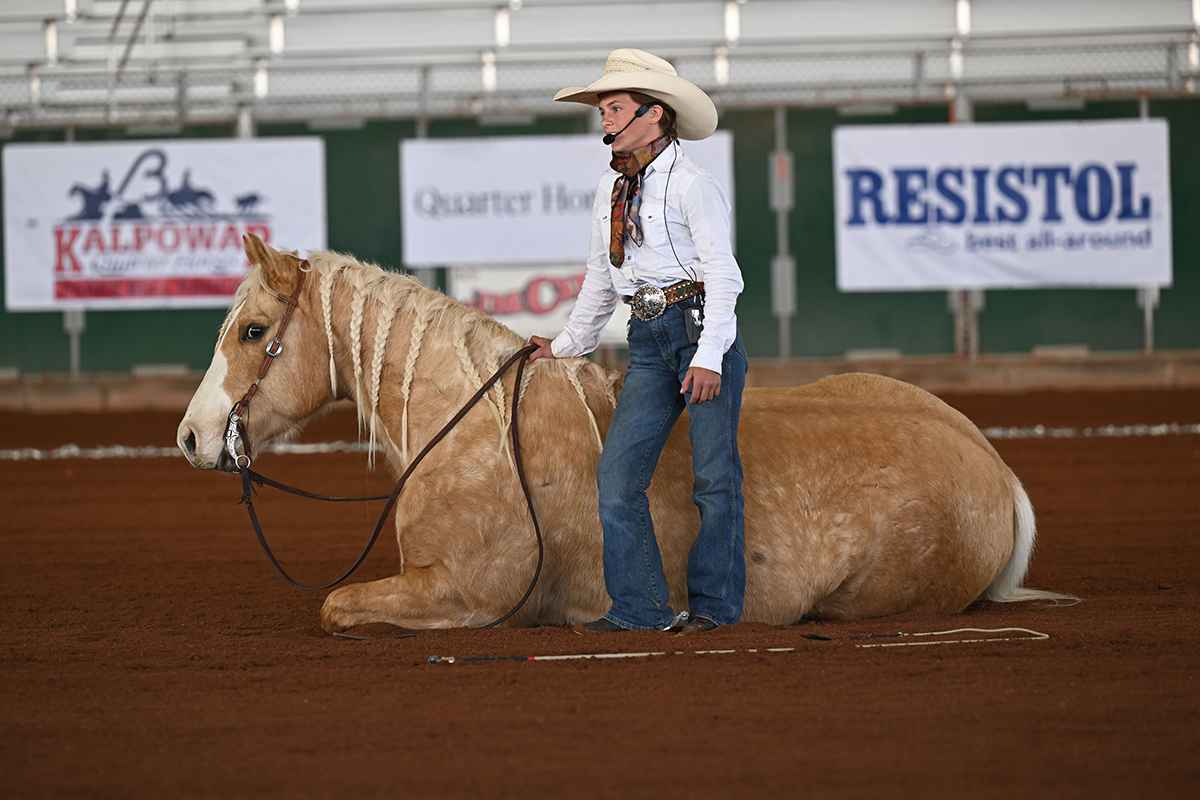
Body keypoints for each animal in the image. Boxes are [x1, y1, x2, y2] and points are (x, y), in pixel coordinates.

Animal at [180, 235, 1070, 633]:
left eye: (253, 331)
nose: (192, 437)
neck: (469, 426)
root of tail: (995, 469)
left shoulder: (464, 594)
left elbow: (335, 607)